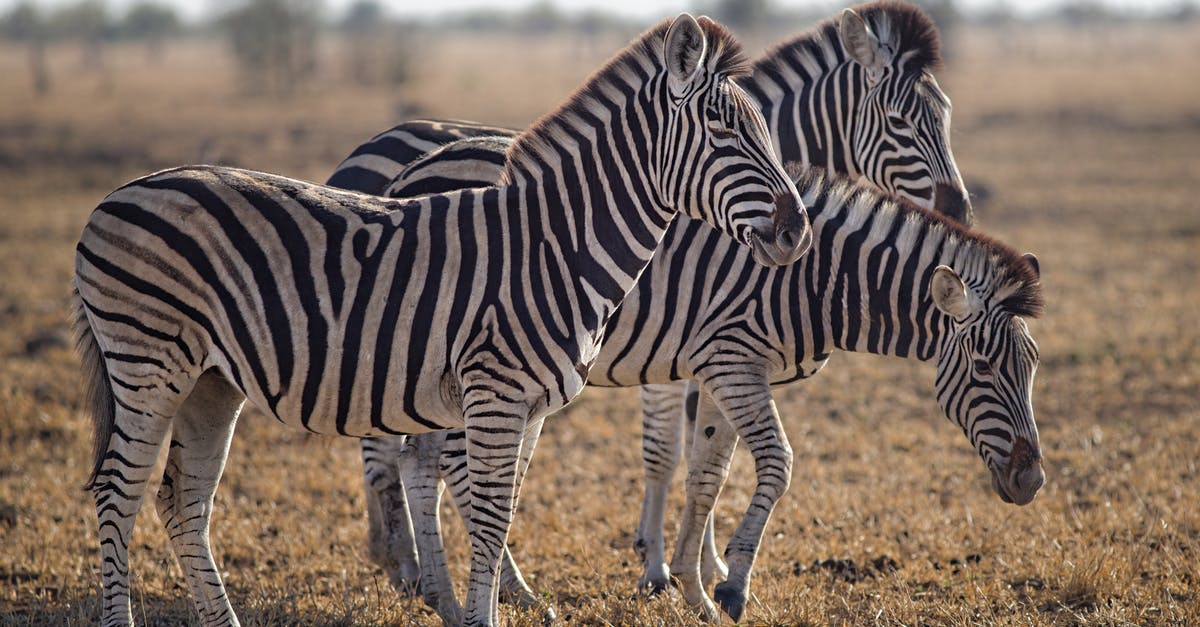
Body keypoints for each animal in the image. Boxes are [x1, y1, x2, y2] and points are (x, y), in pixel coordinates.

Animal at [70, 15, 811, 624]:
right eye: (723, 131)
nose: (797, 230)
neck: (556, 245)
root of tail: (112, 198)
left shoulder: (527, 406)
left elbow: (500, 512)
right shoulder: (496, 393)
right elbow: (486, 519)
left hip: (210, 382)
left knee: (182, 499)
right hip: (149, 364)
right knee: (119, 490)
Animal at [333, 0, 979, 614]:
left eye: (948, 115)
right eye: (899, 122)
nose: (961, 214)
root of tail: (400, 166)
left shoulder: (693, 354)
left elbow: (703, 453)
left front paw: (702, 565)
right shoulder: (680, 346)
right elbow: (668, 454)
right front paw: (662, 569)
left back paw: (412, 567)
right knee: (401, 454)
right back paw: (425, 570)